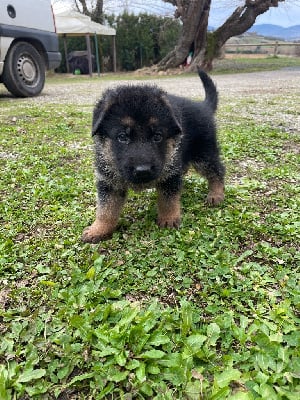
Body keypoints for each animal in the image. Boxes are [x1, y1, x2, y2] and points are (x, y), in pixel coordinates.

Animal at [82, 68, 225, 242]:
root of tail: (203, 106)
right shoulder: (109, 181)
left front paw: (169, 218)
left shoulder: (169, 176)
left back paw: (216, 193)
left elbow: (168, 201)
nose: (142, 171)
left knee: (217, 170)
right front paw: (99, 229)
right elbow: (106, 209)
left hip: (203, 155)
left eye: (157, 136)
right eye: (122, 137)